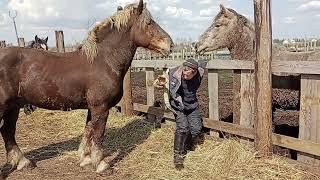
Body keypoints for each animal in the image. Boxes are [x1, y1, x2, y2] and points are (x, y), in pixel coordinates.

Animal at [0, 0, 174, 174]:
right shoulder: (101, 107)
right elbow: (98, 135)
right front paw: (101, 164)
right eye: (149, 22)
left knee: (7, 131)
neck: (103, 61)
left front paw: (86, 159)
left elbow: (88, 131)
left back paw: (23, 162)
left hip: (13, 107)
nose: (170, 45)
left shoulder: (92, 108)